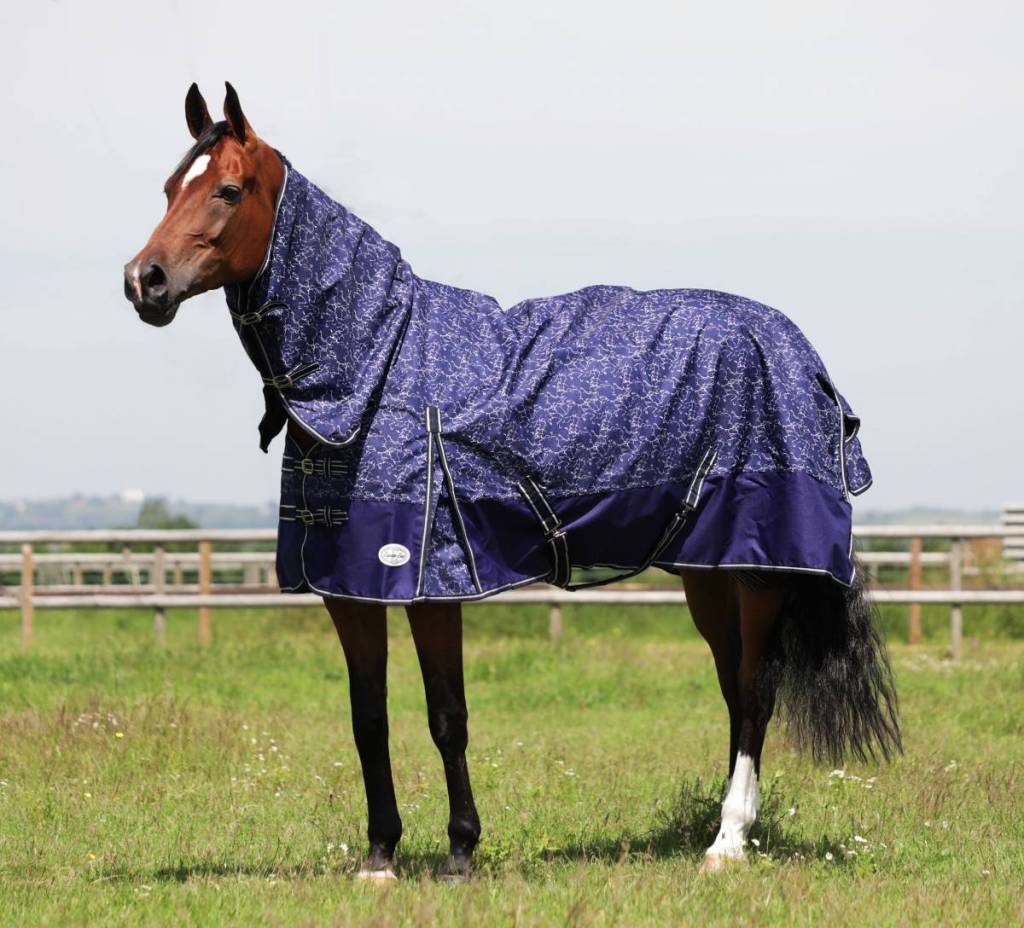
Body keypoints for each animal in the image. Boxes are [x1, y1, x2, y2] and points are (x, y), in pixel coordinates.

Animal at [124, 83, 900, 881]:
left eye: (228, 189)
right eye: (169, 188)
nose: (143, 281)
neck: (378, 366)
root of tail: (801, 354)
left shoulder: (430, 582)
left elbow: (447, 716)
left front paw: (461, 850)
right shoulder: (349, 588)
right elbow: (367, 717)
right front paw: (379, 856)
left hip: (761, 572)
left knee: (754, 693)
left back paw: (728, 841)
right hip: (708, 571)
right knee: (732, 688)